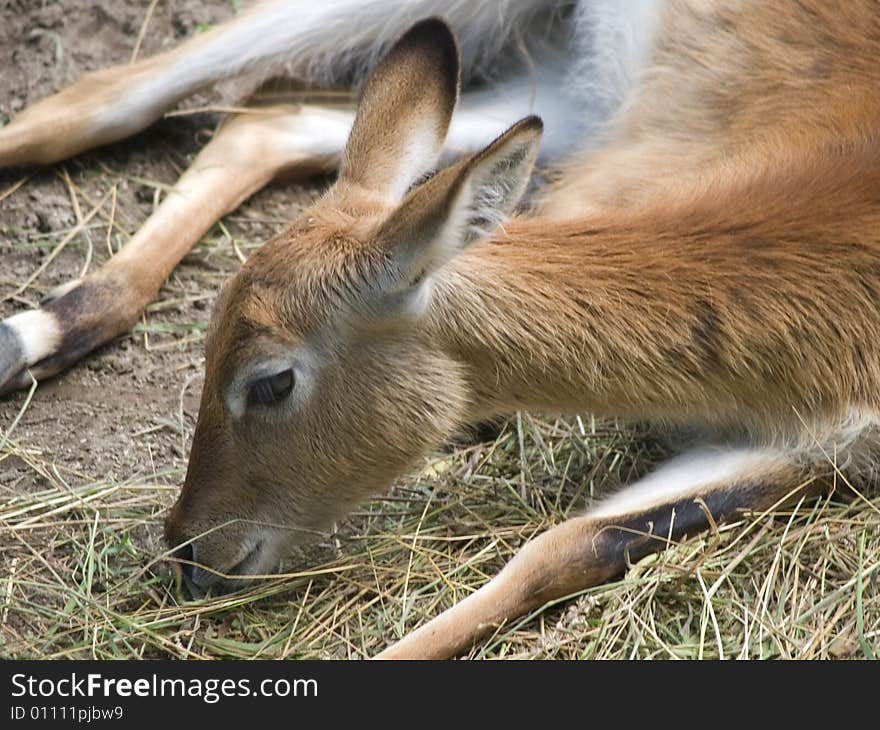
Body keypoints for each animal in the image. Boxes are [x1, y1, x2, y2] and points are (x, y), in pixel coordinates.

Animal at [1, 0, 880, 656]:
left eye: (272, 380)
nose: (188, 547)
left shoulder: (804, 451)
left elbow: (566, 548)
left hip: (559, 93)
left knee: (272, 115)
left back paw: (40, 330)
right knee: (101, 95)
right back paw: (24, 333)